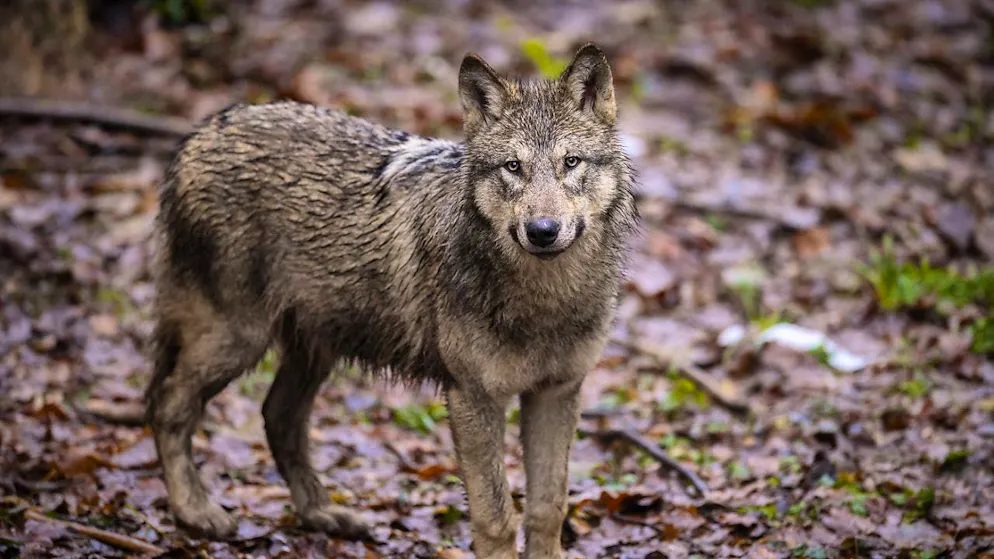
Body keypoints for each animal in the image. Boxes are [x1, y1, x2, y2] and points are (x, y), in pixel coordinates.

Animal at [144, 43, 638, 558]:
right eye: (513, 167)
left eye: (571, 162)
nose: (542, 231)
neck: (545, 302)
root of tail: (198, 133)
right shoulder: (473, 397)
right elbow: (496, 518)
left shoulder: (556, 392)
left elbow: (547, 509)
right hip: (237, 341)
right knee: (166, 406)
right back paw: (195, 512)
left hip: (314, 348)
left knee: (277, 418)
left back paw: (323, 514)